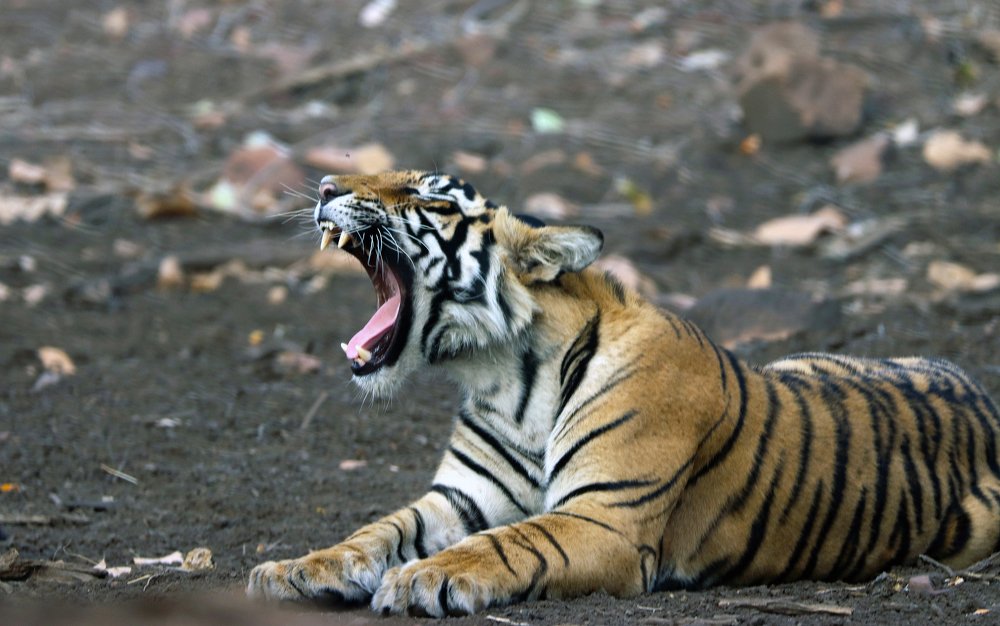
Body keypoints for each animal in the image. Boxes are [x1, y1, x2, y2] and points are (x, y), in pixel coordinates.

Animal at [246, 170, 1000, 617]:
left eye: (431, 199)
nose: (324, 183)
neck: (505, 376)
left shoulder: (602, 518)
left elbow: (508, 542)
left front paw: (421, 578)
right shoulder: (460, 497)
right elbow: (379, 529)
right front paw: (295, 569)